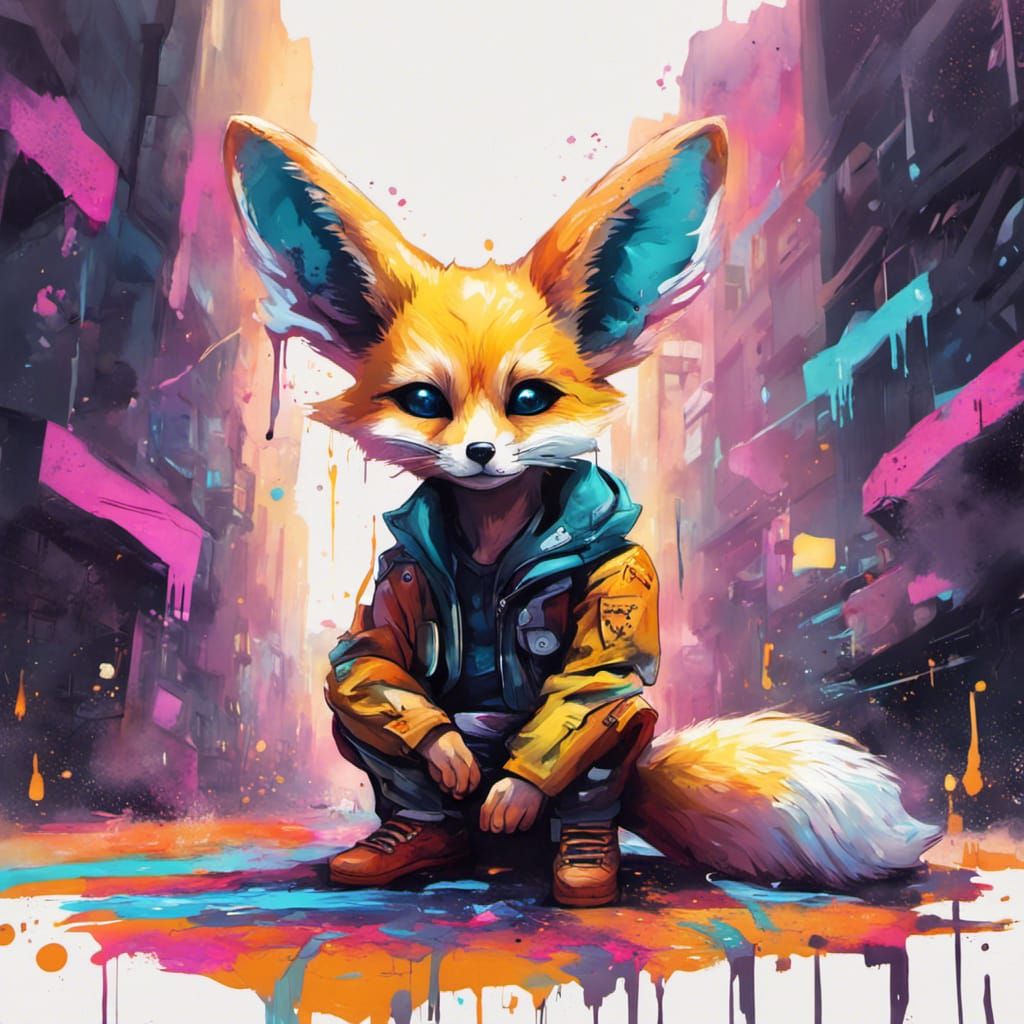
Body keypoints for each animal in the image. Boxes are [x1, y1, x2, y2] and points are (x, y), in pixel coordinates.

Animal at [224, 114, 940, 906]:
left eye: (531, 397)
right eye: (424, 401)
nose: (480, 453)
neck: (495, 535)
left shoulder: (620, 583)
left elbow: (590, 680)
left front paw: (520, 798)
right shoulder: (398, 575)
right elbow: (368, 660)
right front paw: (443, 759)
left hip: (608, 745)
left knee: (608, 726)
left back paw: (582, 856)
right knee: (377, 714)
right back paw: (418, 838)